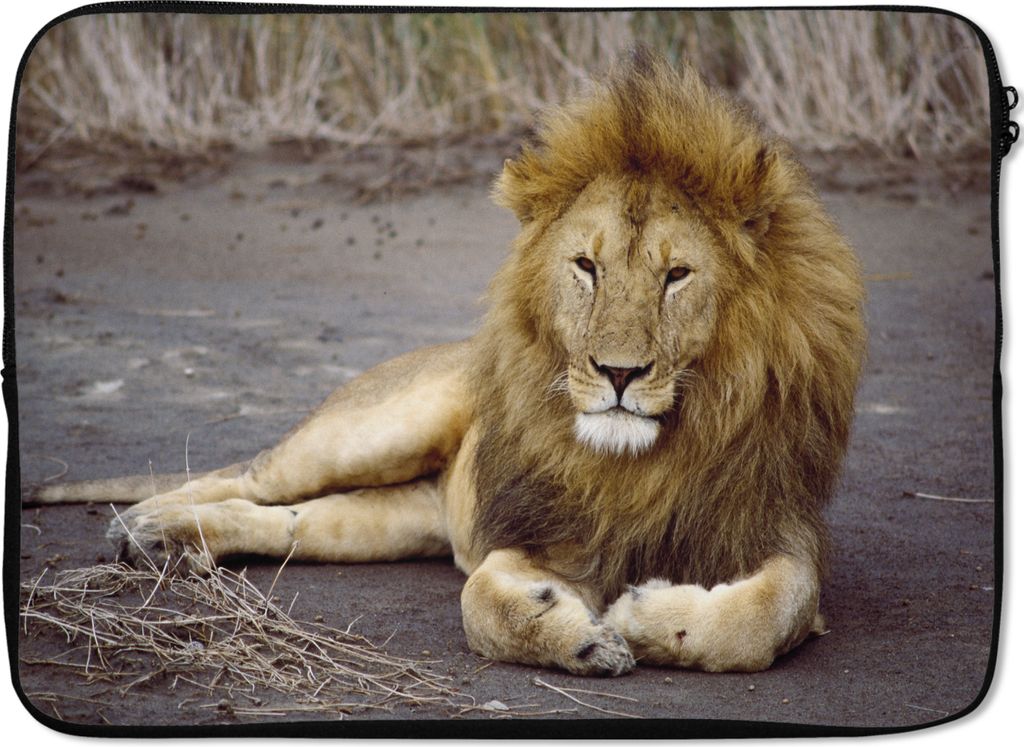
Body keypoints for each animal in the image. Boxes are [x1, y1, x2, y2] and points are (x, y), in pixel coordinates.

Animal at [32, 50, 865, 675]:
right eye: (587, 266)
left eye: (677, 275)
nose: (619, 373)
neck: (640, 460)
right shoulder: (527, 541)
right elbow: (482, 607)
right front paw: (581, 633)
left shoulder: (779, 523)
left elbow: (766, 616)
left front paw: (646, 617)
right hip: (372, 429)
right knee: (246, 475)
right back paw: (144, 523)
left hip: (387, 519)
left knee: (282, 520)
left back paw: (173, 541)